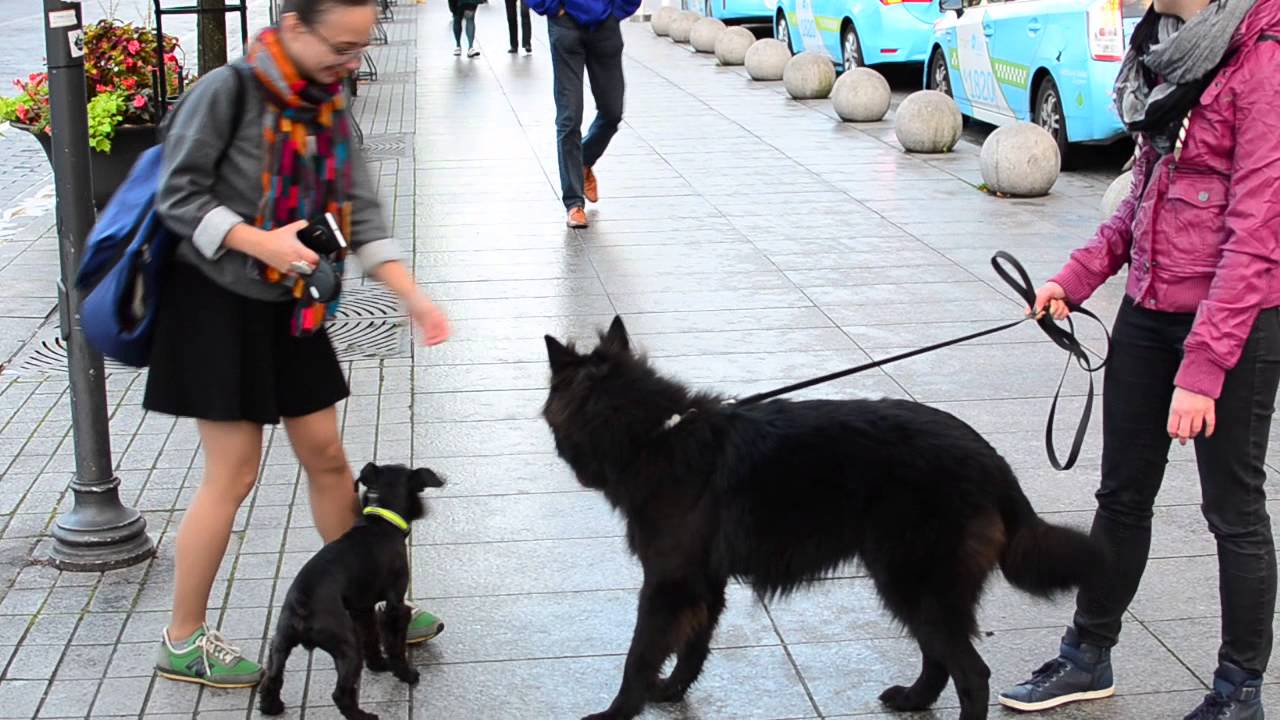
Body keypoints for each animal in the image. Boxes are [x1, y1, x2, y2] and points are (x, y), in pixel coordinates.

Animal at [254, 461, 445, 712]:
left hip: (280, 643)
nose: (425, 509)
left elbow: (371, 636)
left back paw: (272, 707)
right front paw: (405, 673)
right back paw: (368, 716)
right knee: (340, 694)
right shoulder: (395, 605)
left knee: (272, 677)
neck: (381, 522)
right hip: (347, 648)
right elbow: (394, 644)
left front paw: (377, 664)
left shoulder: (362, 610)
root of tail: (302, 607)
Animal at [545, 315, 1105, 717]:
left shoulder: (668, 585)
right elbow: (693, 644)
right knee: (939, 658)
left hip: (910, 583)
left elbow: (640, 653)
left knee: (971, 674)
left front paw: (618, 711)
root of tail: (991, 459)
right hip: (912, 587)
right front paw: (673, 690)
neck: (653, 434)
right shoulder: (704, 583)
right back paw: (913, 700)